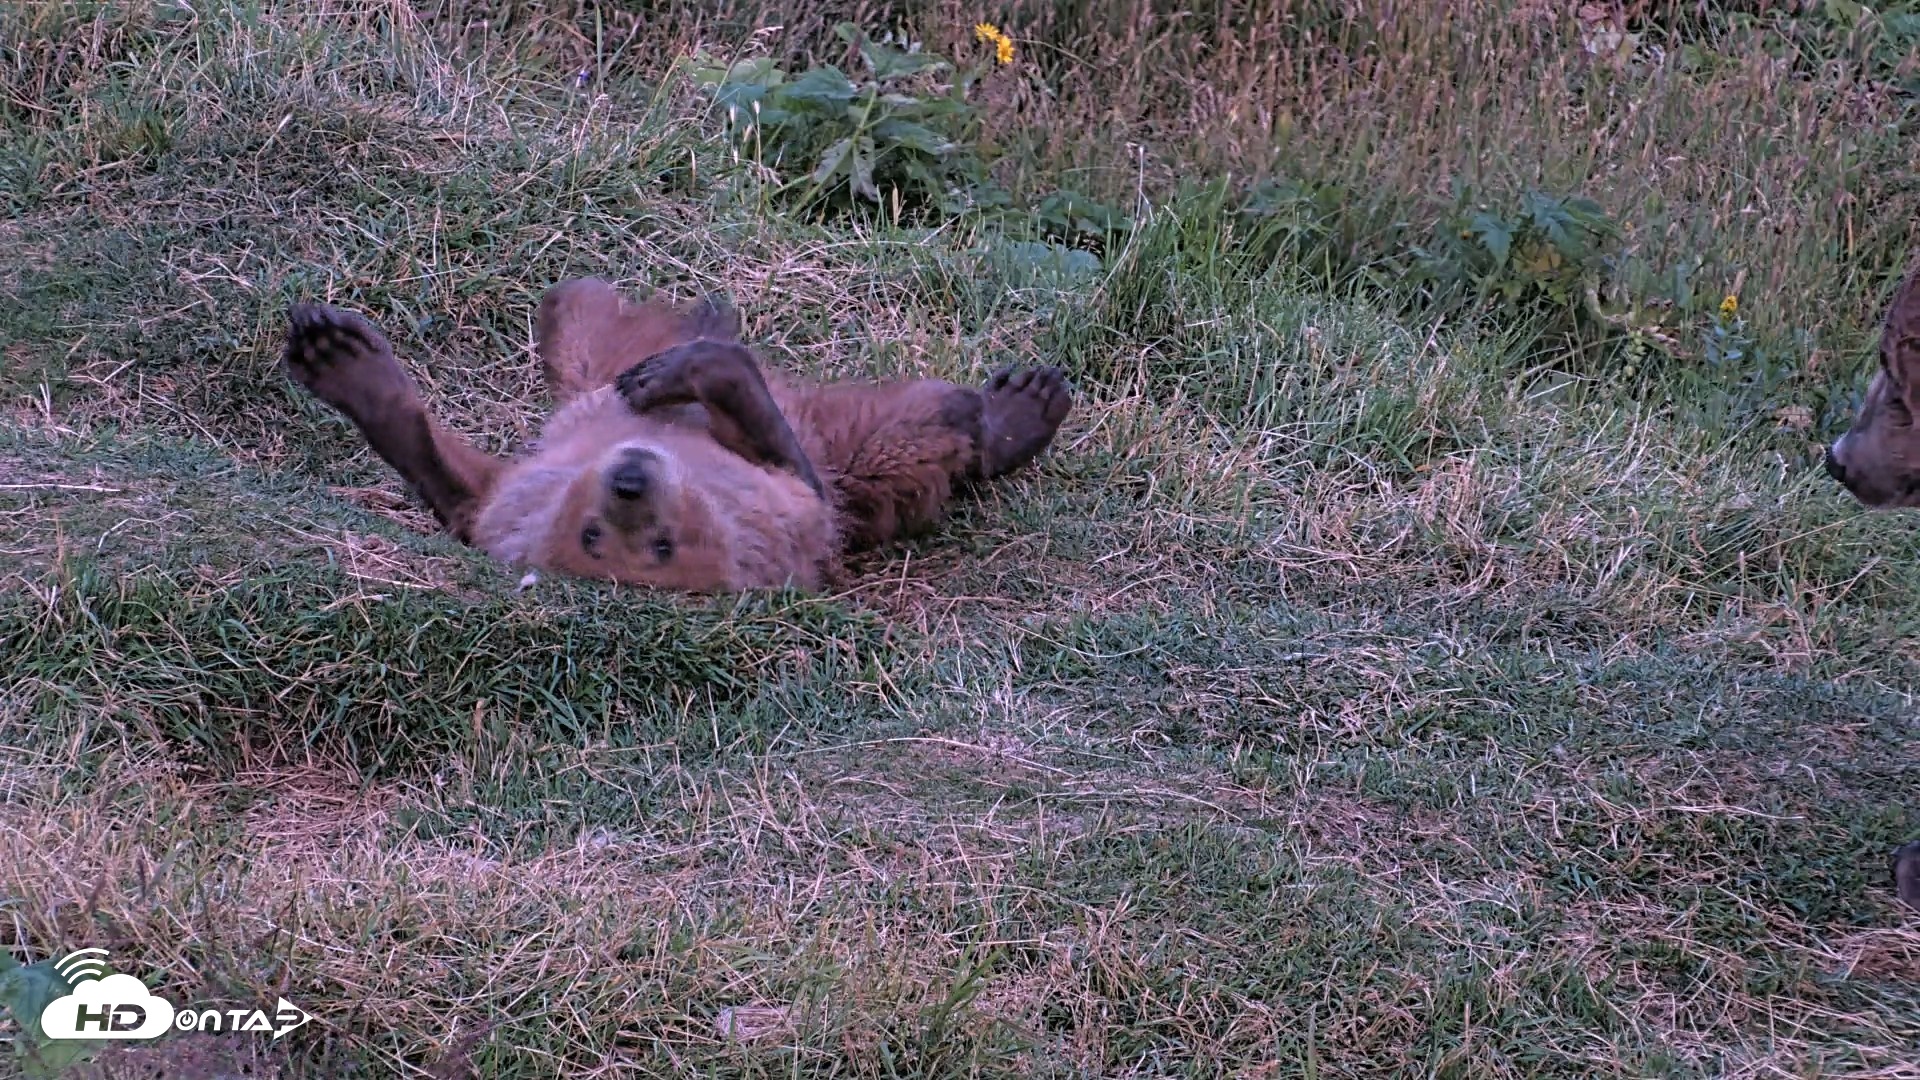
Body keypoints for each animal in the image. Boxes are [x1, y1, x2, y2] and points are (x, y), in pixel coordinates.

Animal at [279, 277, 1074, 593]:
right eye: (593, 535)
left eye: (663, 546)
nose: (630, 481)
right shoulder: (516, 509)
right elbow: (468, 490)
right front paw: (353, 373)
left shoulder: (782, 522)